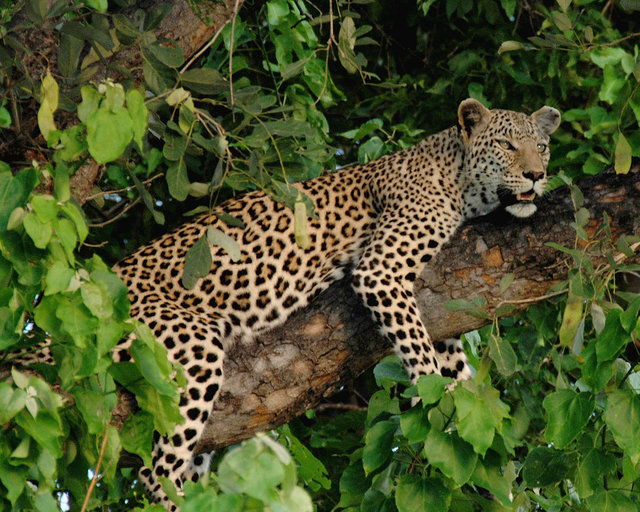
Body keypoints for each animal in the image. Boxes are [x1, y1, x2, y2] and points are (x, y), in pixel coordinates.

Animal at [23, 97, 560, 508]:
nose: (537, 175)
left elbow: (449, 362)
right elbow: (424, 361)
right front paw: (433, 408)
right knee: (157, 473)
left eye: (542, 146)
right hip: (189, 343)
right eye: (507, 146)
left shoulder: (434, 303)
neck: (459, 180)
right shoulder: (381, 270)